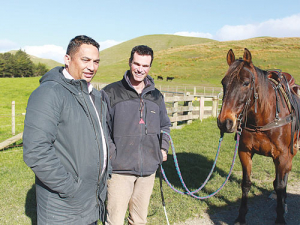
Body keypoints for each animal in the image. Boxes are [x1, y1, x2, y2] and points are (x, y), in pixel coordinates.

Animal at [217, 48, 298, 224]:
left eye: (246, 83)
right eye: (223, 82)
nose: (224, 122)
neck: (263, 119)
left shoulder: (283, 156)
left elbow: (280, 185)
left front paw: (280, 218)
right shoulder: (245, 152)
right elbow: (246, 183)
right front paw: (241, 216)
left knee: (284, 177)